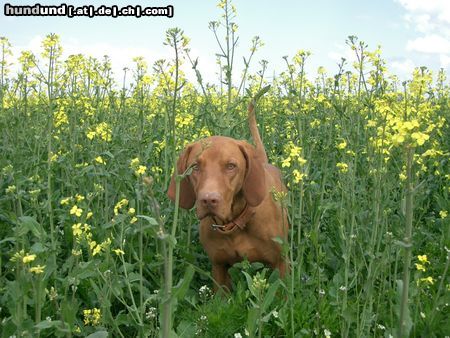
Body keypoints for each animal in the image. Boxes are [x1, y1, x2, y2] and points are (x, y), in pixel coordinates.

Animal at [168, 95, 288, 290]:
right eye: (195, 167)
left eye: (231, 166)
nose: (208, 200)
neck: (235, 223)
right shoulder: (219, 268)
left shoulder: (281, 264)